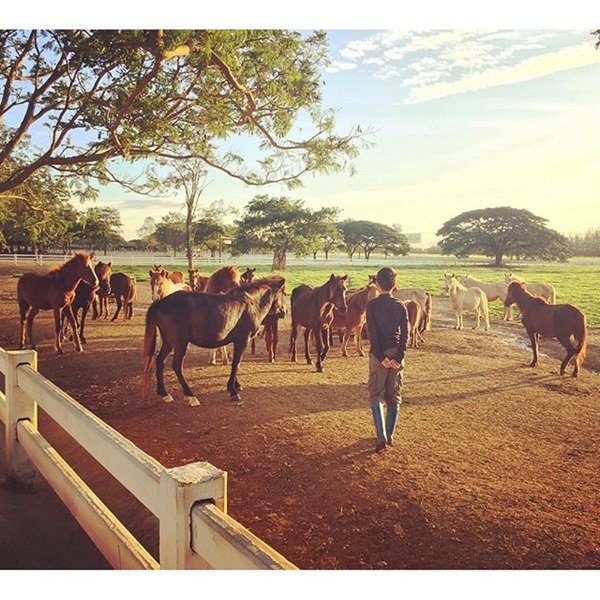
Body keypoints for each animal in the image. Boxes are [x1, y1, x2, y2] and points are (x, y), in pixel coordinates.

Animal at [144, 276, 288, 406]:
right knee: (177, 366)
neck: (252, 303)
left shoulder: (237, 341)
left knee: (160, 360)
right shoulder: (243, 340)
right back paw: (191, 396)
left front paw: (236, 385)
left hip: (168, 342)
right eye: (284, 293)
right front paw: (233, 391)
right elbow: (236, 364)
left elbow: (236, 363)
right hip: (180, 343)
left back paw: (164, 393)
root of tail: (160, 303)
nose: (285, 311)